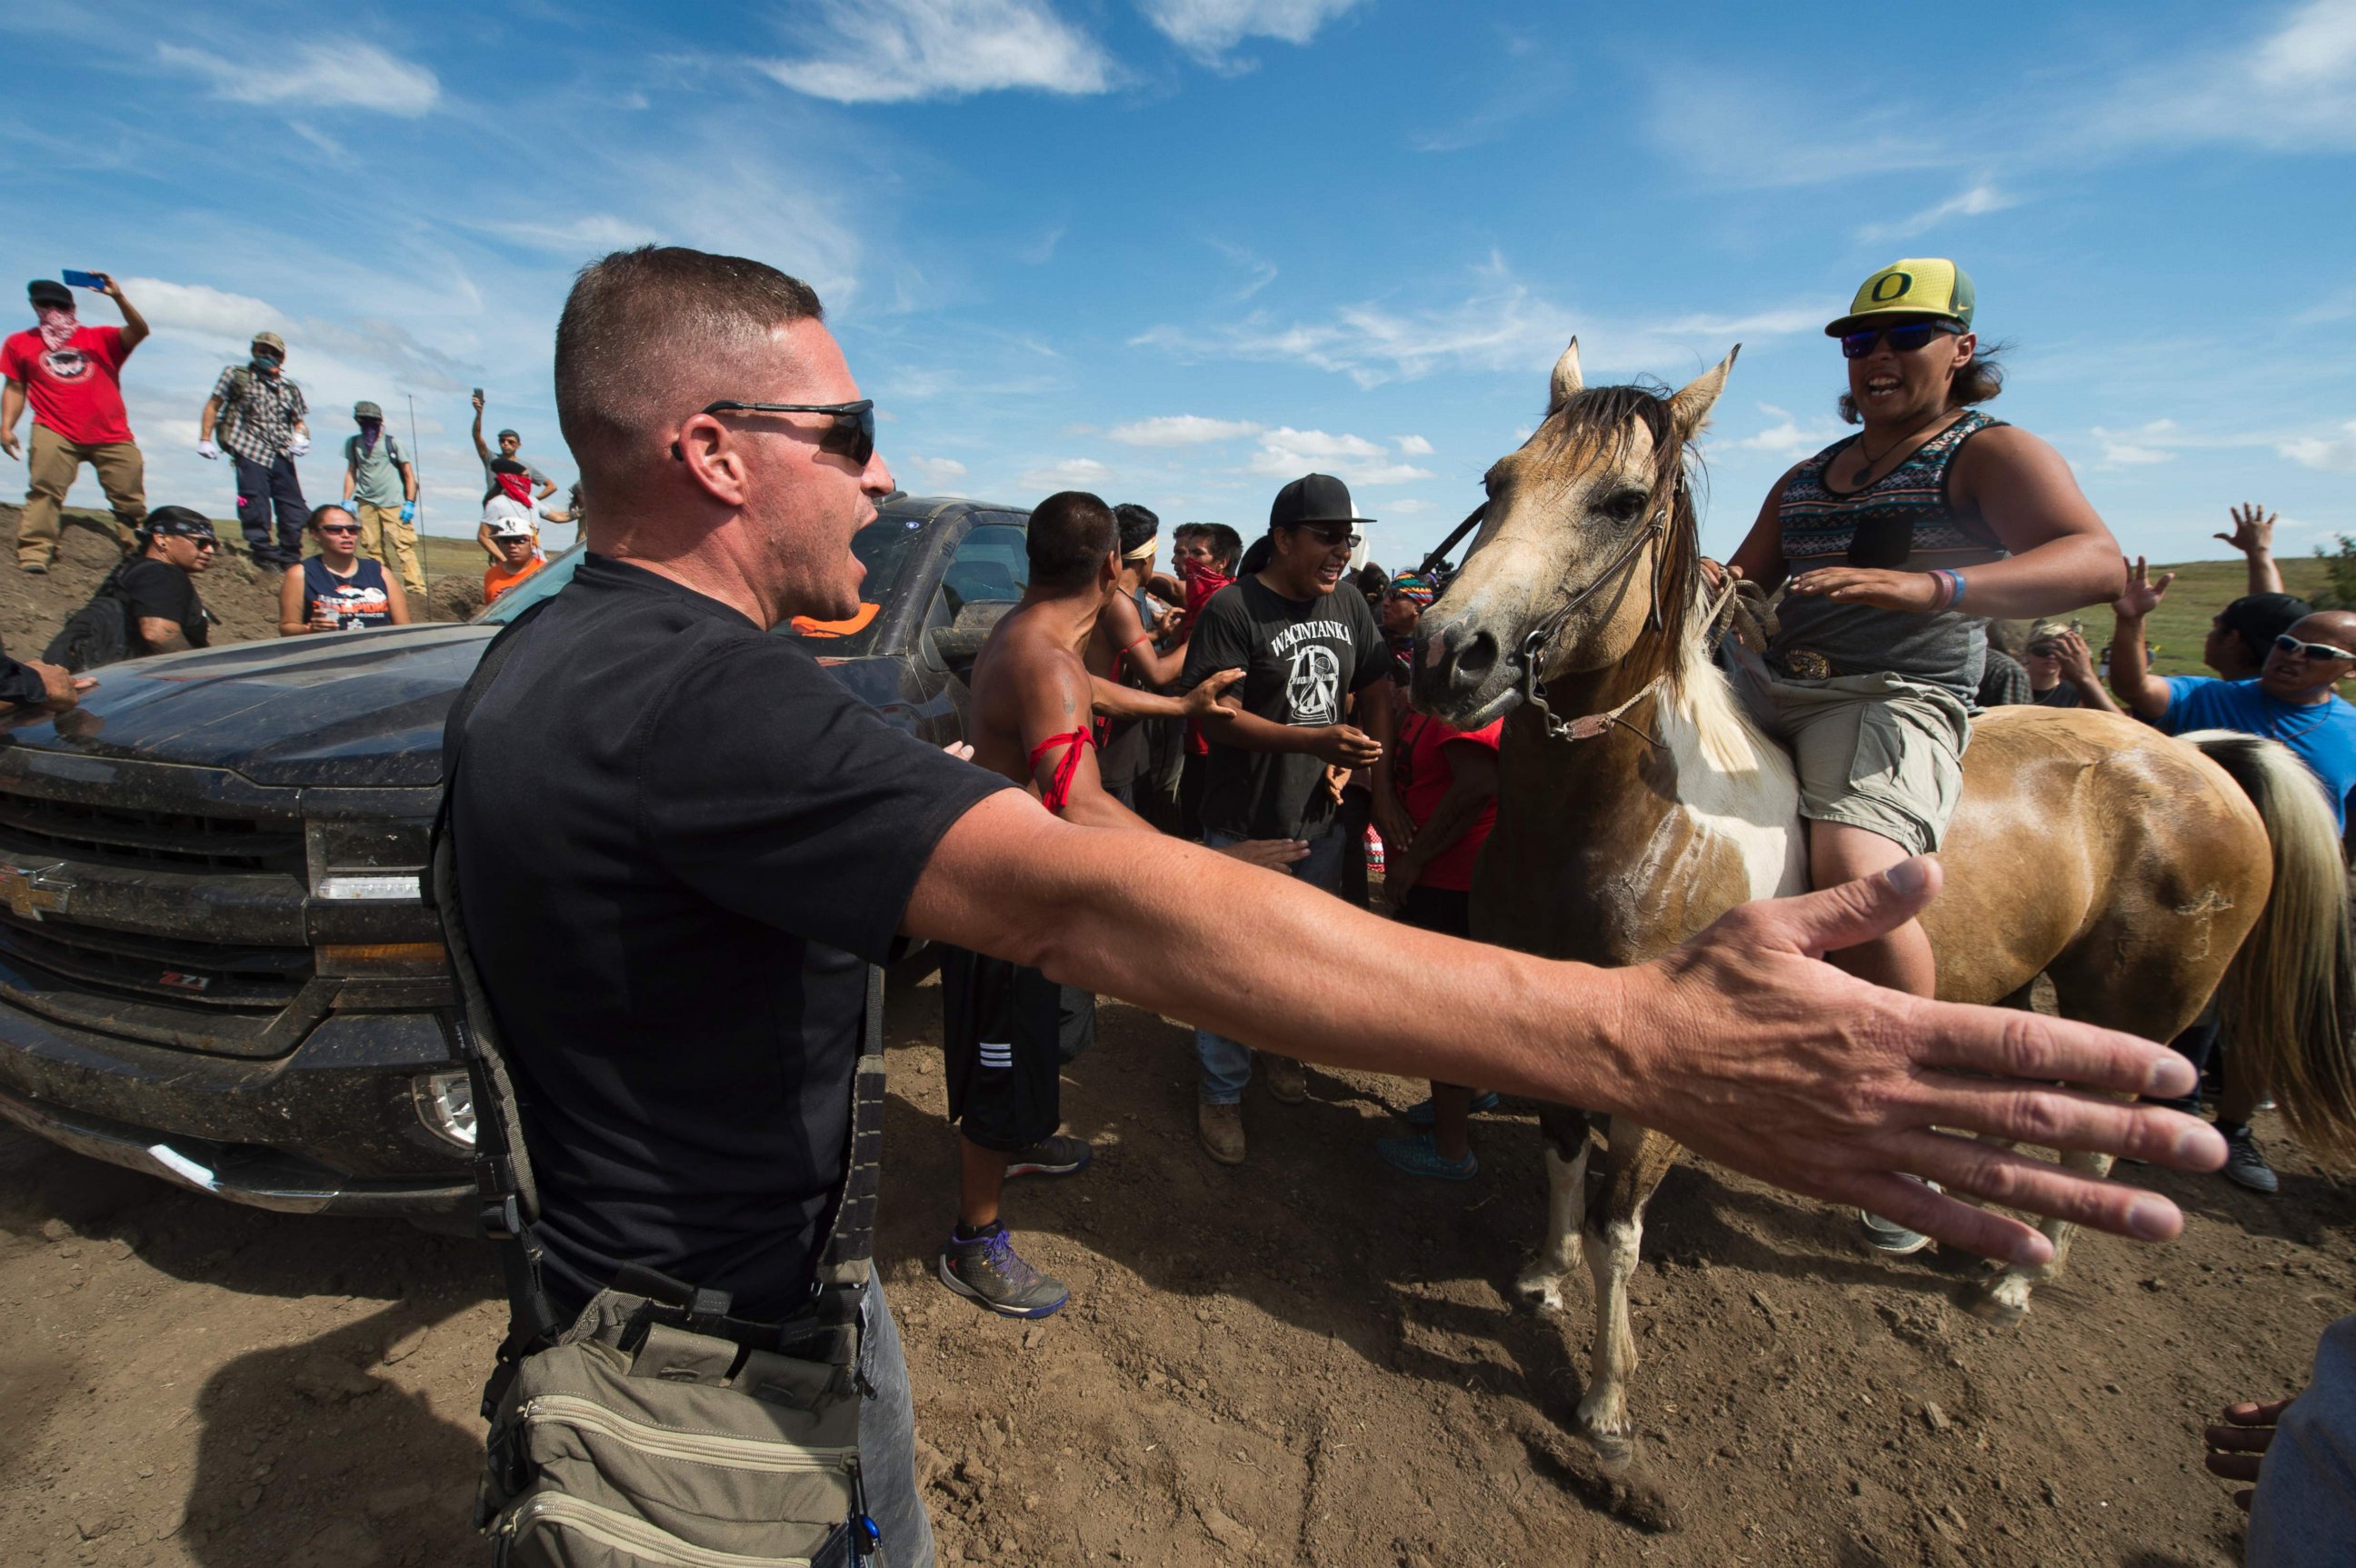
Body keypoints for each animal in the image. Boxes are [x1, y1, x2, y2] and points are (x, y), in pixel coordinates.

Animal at [1403, 336, 2356, 1459]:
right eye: (1496, 482)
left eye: (1623, 501)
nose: (1448, 653)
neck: (1624, 828)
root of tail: (2196, 754)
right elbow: (1559, 1170)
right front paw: (1543, 1276)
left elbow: (1618, 1235)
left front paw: (1606, 1395)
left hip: (2141, 1011)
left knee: (2097, 1135)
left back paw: (2014, 1282)